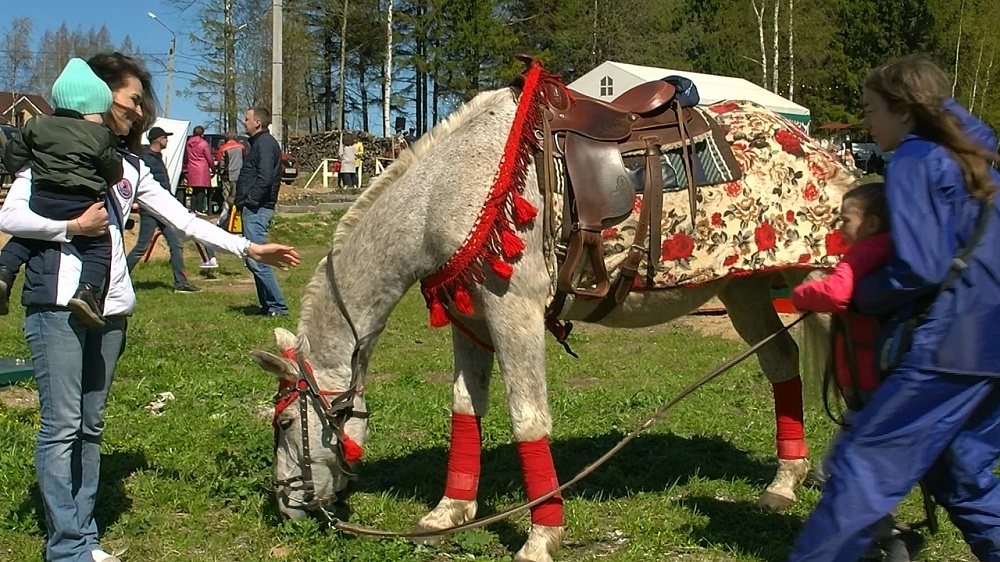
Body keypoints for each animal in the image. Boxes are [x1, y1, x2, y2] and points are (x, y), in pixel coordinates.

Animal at [252, 84, 852, 560]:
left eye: (285, 423)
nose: (288, 506)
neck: (448, 192)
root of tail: (811, 145)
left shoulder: (513, 312)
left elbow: (527, 419)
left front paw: (541, 538)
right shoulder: (471, 318)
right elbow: (465, 408)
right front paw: (450, 511)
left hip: (821, 276)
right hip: (743, 286)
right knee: (781, 362)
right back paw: (784, 483)